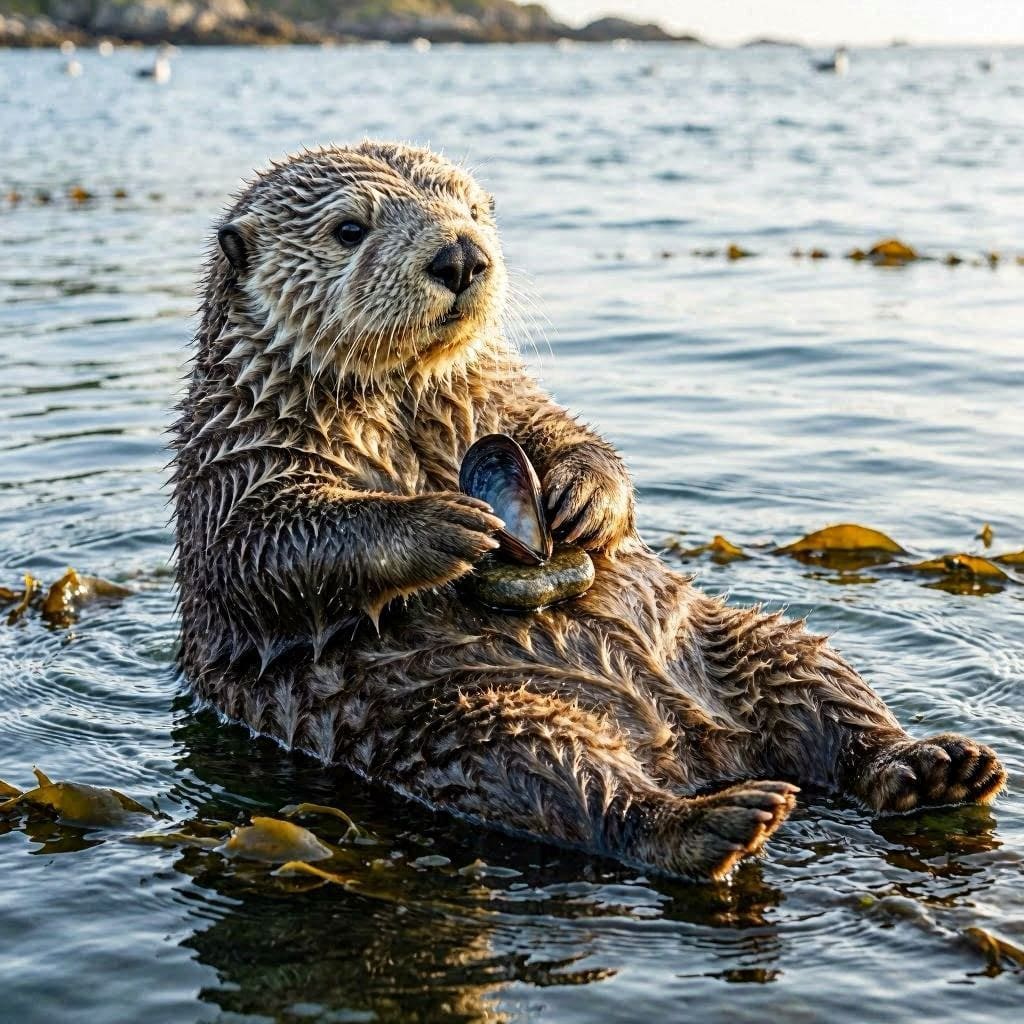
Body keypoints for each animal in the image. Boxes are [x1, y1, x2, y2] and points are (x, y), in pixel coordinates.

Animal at [171, 142, 1006, 880]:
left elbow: (569, 433)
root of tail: (692, 746)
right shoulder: (236, 459)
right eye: (349, 229)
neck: (408, 404)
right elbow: (264, 547)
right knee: (573, 785)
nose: (461, 256)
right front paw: (443, 522)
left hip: (750, 644)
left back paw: (937, 765)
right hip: (461, 718)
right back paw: (716, 823)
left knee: (828, 694)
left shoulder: (502, 394)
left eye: (472, 209)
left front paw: (581, 496)